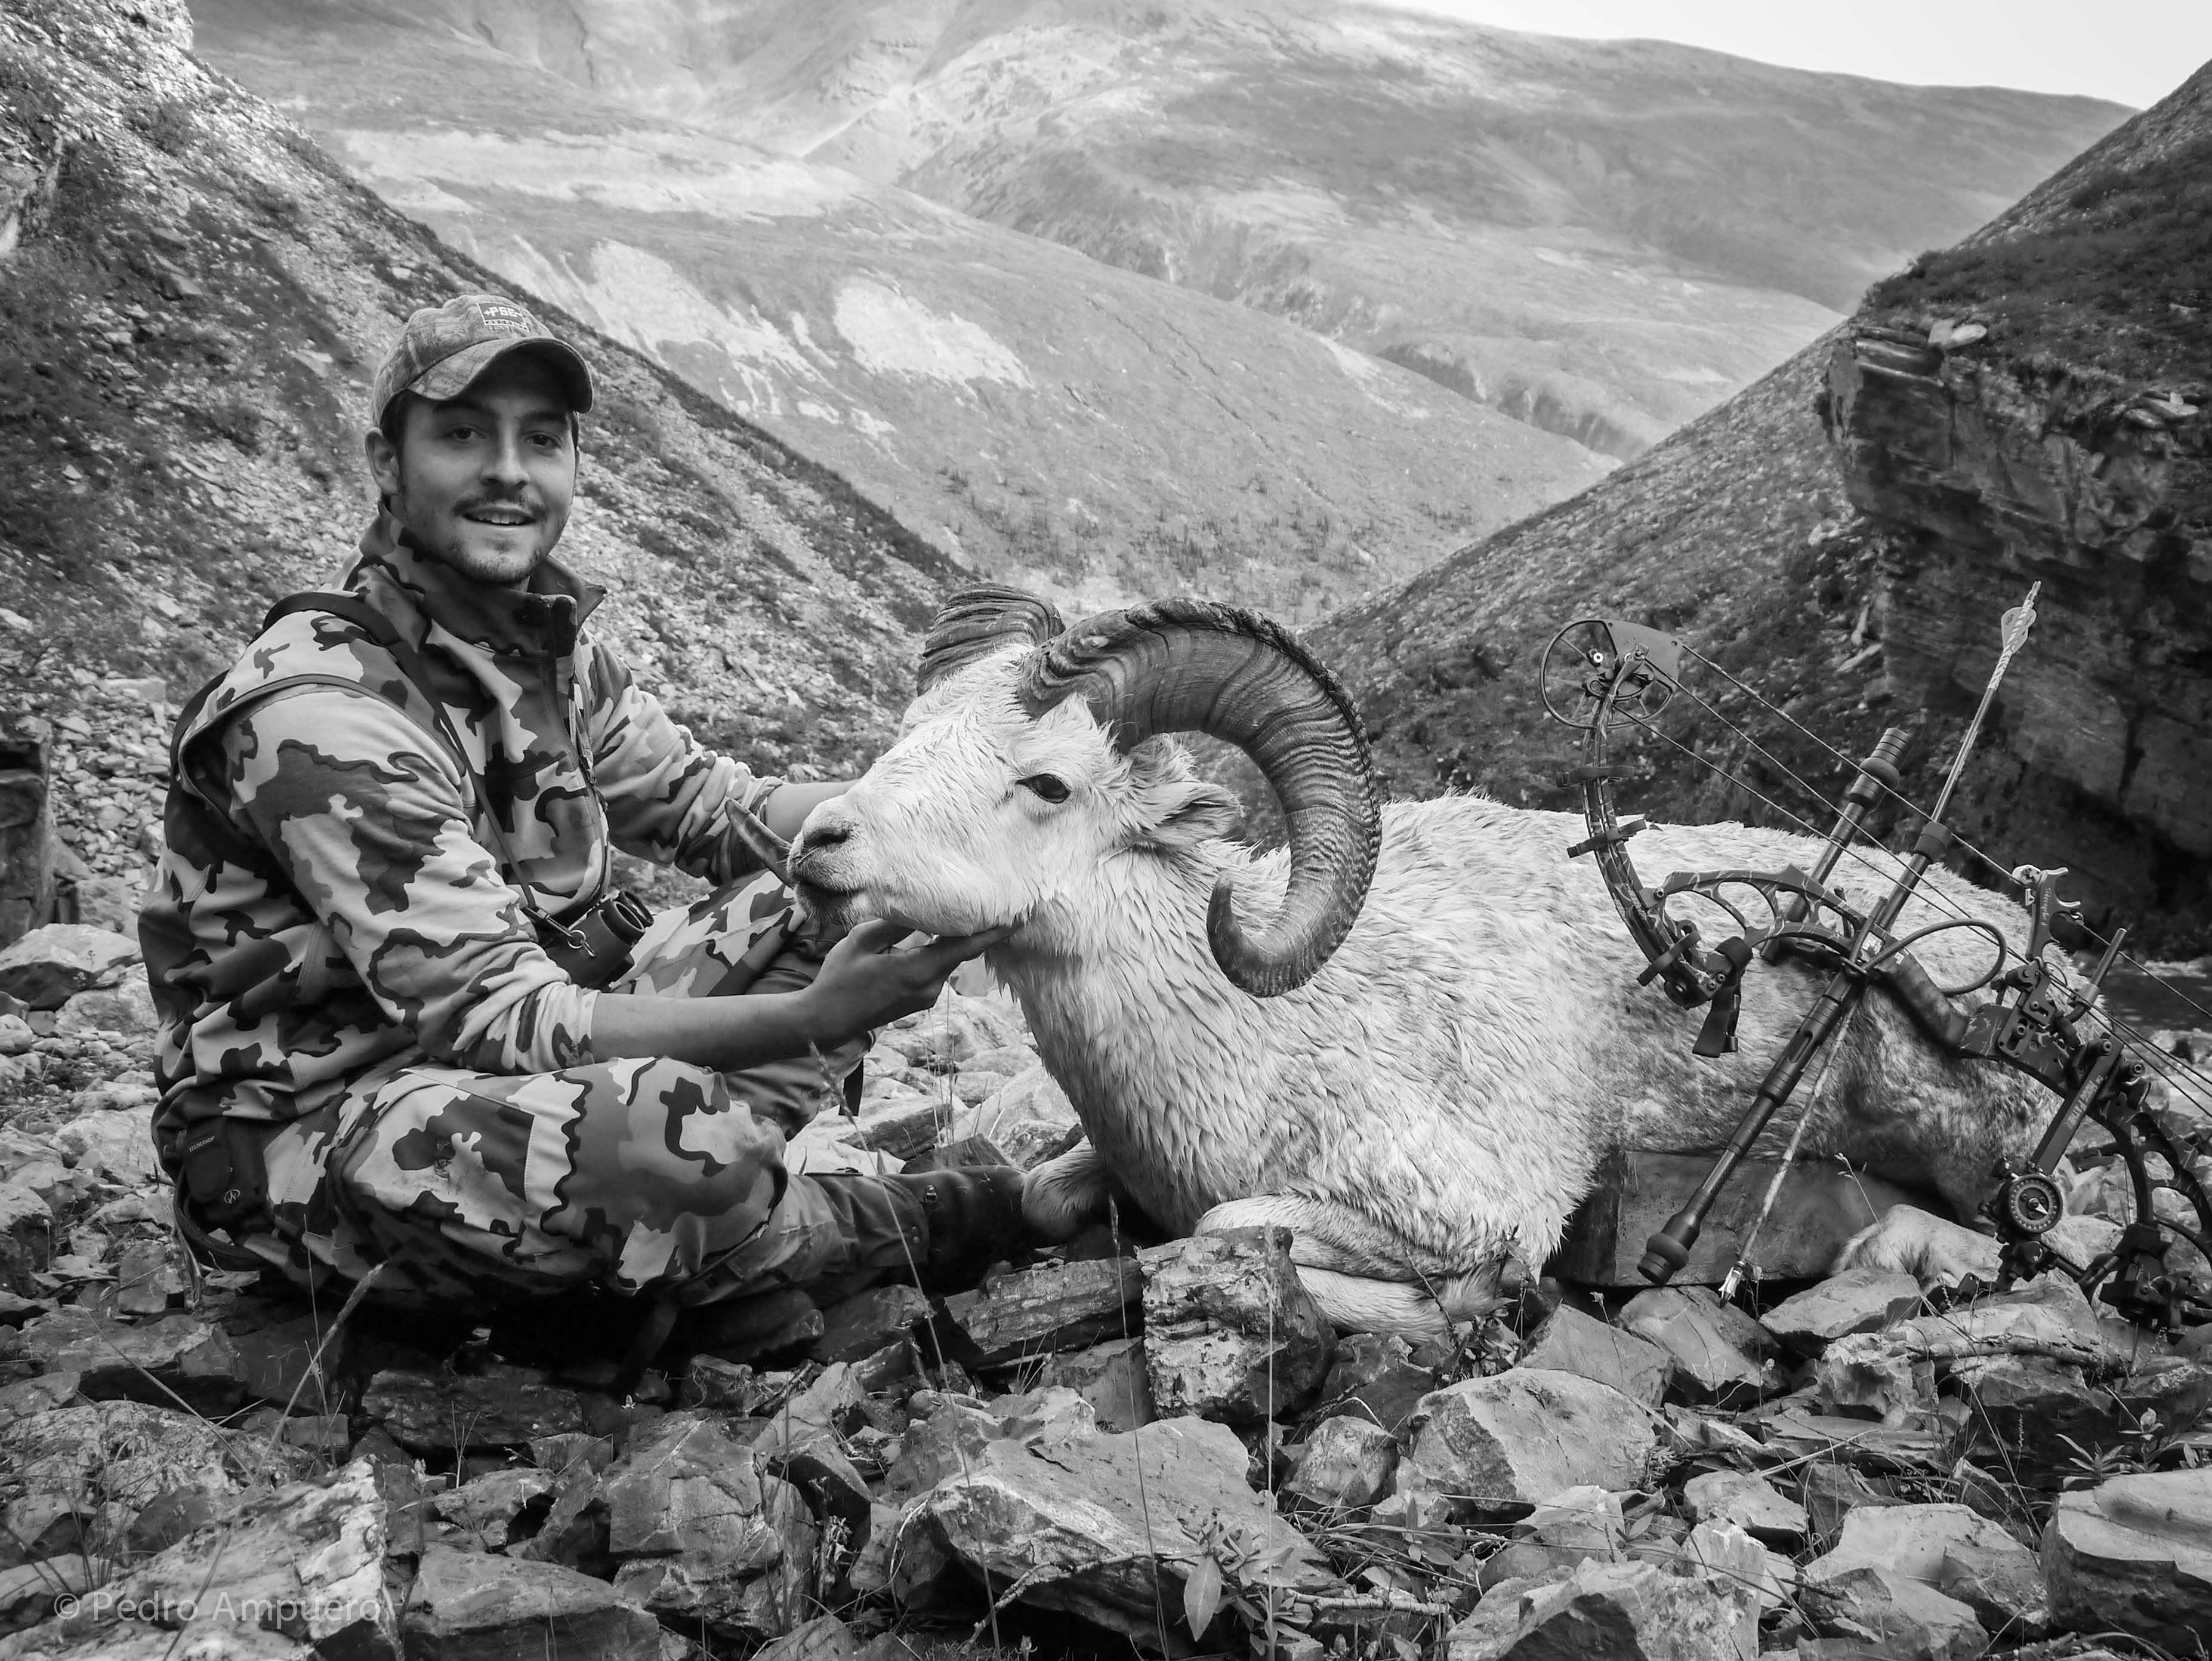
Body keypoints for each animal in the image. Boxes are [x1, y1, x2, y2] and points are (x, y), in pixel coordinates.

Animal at [789, 585, 2066, 1337]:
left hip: (1956, 1128)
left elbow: (1233, 1232)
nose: (818, 843)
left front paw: (1470, 1307)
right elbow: (1046, 1194)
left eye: (1047, 782)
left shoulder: (1464, 1203)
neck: (1257, 1039)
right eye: (907, 737)